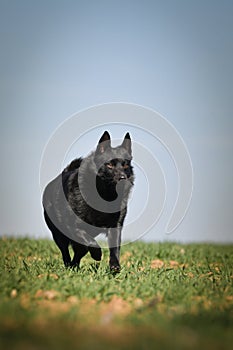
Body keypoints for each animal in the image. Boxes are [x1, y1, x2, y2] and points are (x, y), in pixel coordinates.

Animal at [42, 131, 134, 270]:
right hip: (59, 234)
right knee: (66, 251)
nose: (123, 178)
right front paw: (97, 254)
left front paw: (114, 265)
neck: (105, 195)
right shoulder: (73, 226)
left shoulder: (116, 226)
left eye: (126, 165)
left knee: (80, 251)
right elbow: (90, 241)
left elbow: (114, 248)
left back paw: (74, 265)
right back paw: (69, 265)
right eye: (109, 164)